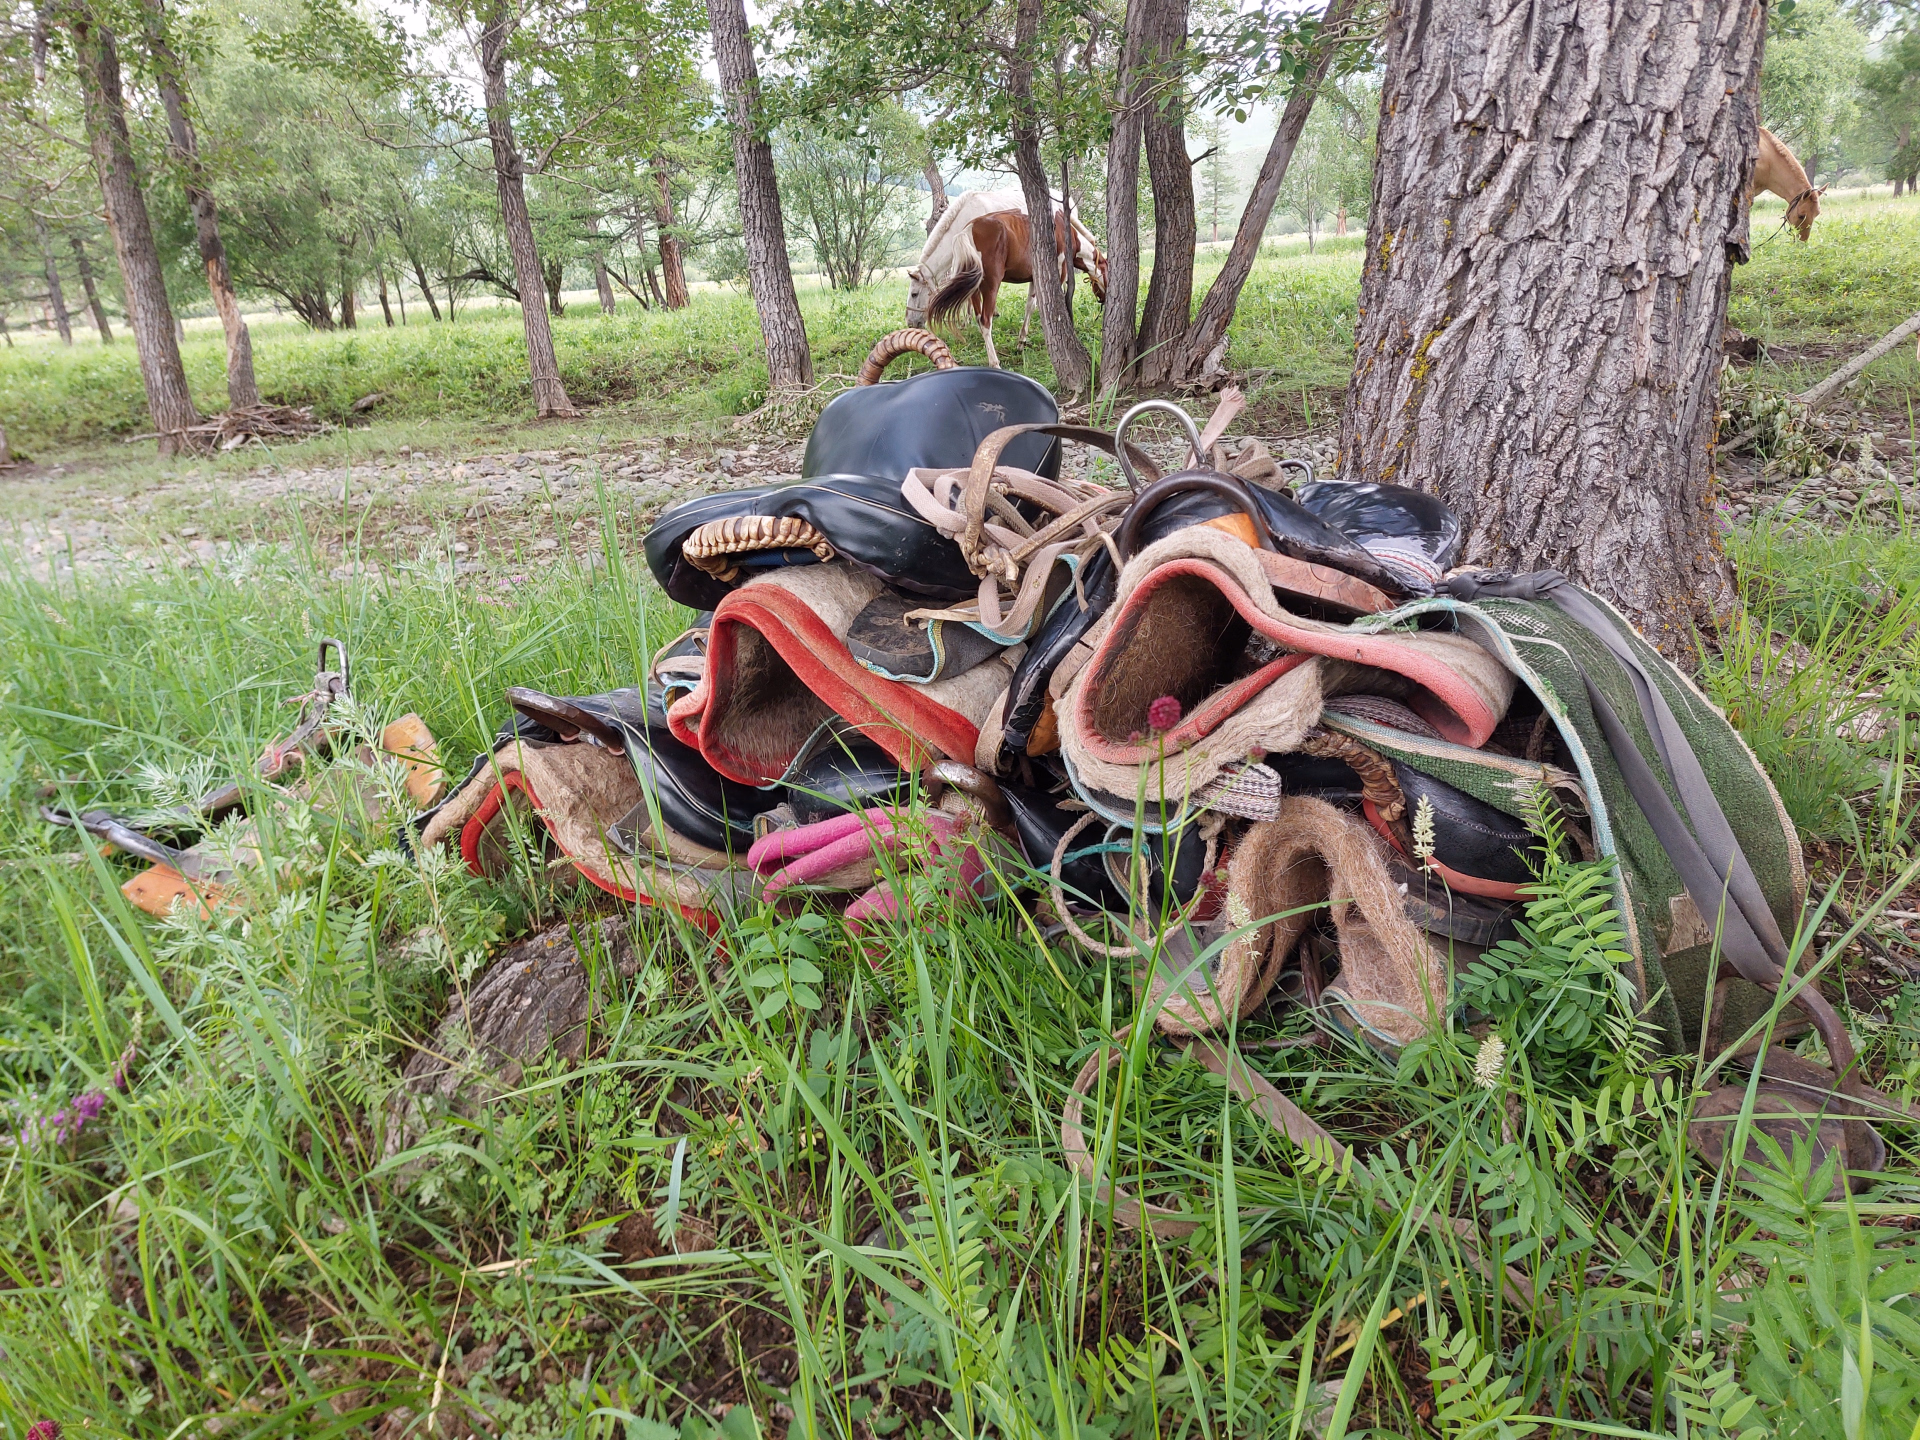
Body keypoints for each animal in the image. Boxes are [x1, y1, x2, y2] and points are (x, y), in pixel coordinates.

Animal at [905, 195, 1107, 368]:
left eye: (914, 294)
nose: (910, 322)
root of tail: (968, 231)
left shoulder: (1034, 278)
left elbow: (1031, 305)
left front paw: (1022, 341)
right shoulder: (1059, 272)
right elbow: (1060, 303)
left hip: (975, 288)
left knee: (980, 318)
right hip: (990, 286)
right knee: (985, 320)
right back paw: (994, 362)